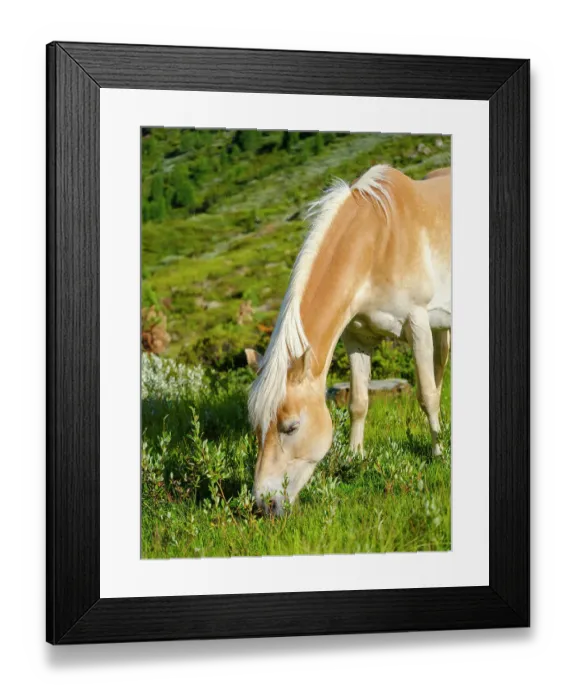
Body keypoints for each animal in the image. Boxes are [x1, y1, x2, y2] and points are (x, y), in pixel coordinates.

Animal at [245, 164, 451, 515]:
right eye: (257, 429)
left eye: (291, 427)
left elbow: (426, 396)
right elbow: (358, 402)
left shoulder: (418, 323)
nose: (265, 504)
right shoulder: (356, 338)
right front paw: (355, 457)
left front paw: (437, 454)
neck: (379, 243)